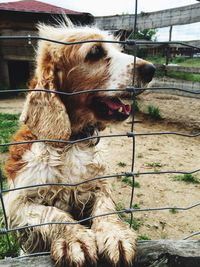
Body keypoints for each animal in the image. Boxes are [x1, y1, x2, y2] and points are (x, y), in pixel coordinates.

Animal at [3, 19, 155, 266]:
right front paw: (75, 240)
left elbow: (105, 208)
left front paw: (116, 236)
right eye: (95, 52)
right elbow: (54, 214)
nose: (151, 69)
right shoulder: (17, 204)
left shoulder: (99, 185)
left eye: (119, 49)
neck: (70, 143)